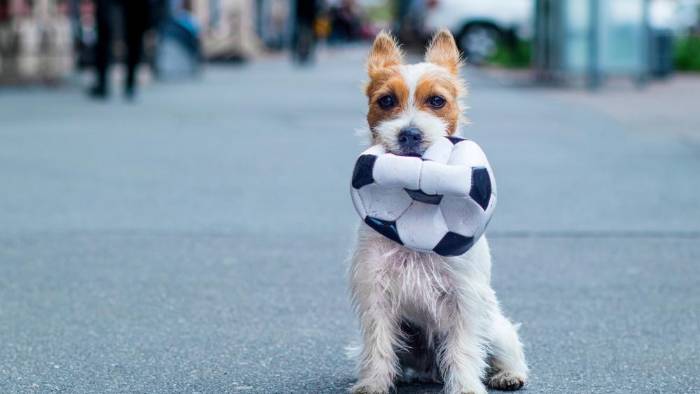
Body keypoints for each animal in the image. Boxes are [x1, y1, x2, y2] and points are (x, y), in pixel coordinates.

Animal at [348, 30, 528, 394]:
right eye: (386, 101)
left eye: (436, 101)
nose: (410, 134)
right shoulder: (375, 291)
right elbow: (377, 344)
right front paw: (372, 383)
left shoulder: (464, 297)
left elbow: (463, 349)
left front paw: (466, 387)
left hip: (494, 325)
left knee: (507, 346)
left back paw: (508, 374)